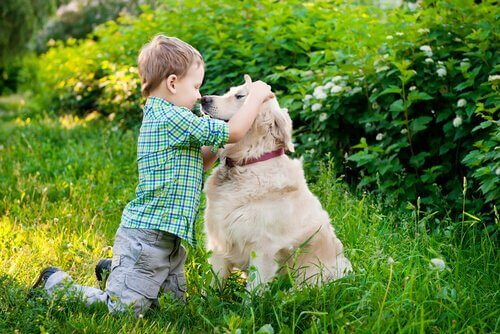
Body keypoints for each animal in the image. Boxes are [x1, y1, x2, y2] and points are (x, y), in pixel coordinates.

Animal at [199, 75, 352, 290]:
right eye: (229, 92)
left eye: (240, 96)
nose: (203, 99)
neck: (247, 163)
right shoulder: (218, 242)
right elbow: (212, 284)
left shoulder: (263, 248)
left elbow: (253, 291)